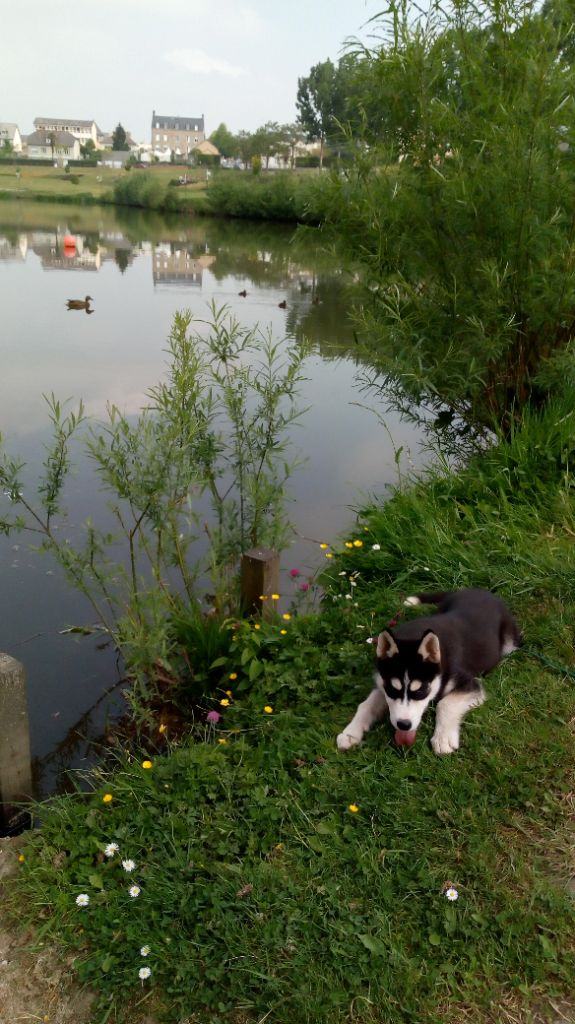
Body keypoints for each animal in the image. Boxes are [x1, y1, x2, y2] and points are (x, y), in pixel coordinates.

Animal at [335, 593, 519, 753]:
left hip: (510, 642)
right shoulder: (382, 683)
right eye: (393, 690)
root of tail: (478, 591)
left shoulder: (470, 683)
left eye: (421, 691)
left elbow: (445, 703)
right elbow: (366, 705)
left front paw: (443, 738)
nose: (403, 725)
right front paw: (350, 733)